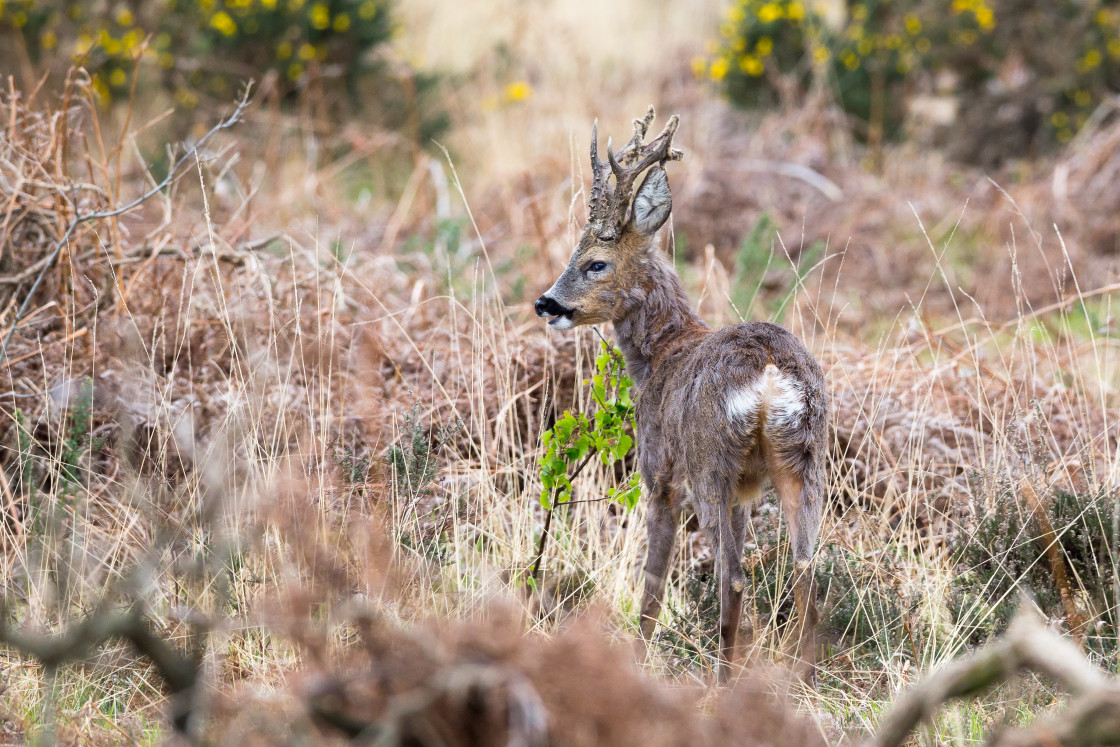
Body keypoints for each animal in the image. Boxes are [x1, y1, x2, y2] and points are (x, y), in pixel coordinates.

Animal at [533, 106, 833, 685]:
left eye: (595, 262)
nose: (546, 303)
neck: (662, 356)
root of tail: (768, 369)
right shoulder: (745, 492)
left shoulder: (659, 472)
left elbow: (652, 580)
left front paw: (635, 659)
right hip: (802, 458)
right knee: (806, 567)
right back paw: (797, 678)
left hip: (709, 460)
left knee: (732, 577)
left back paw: (724, 681)